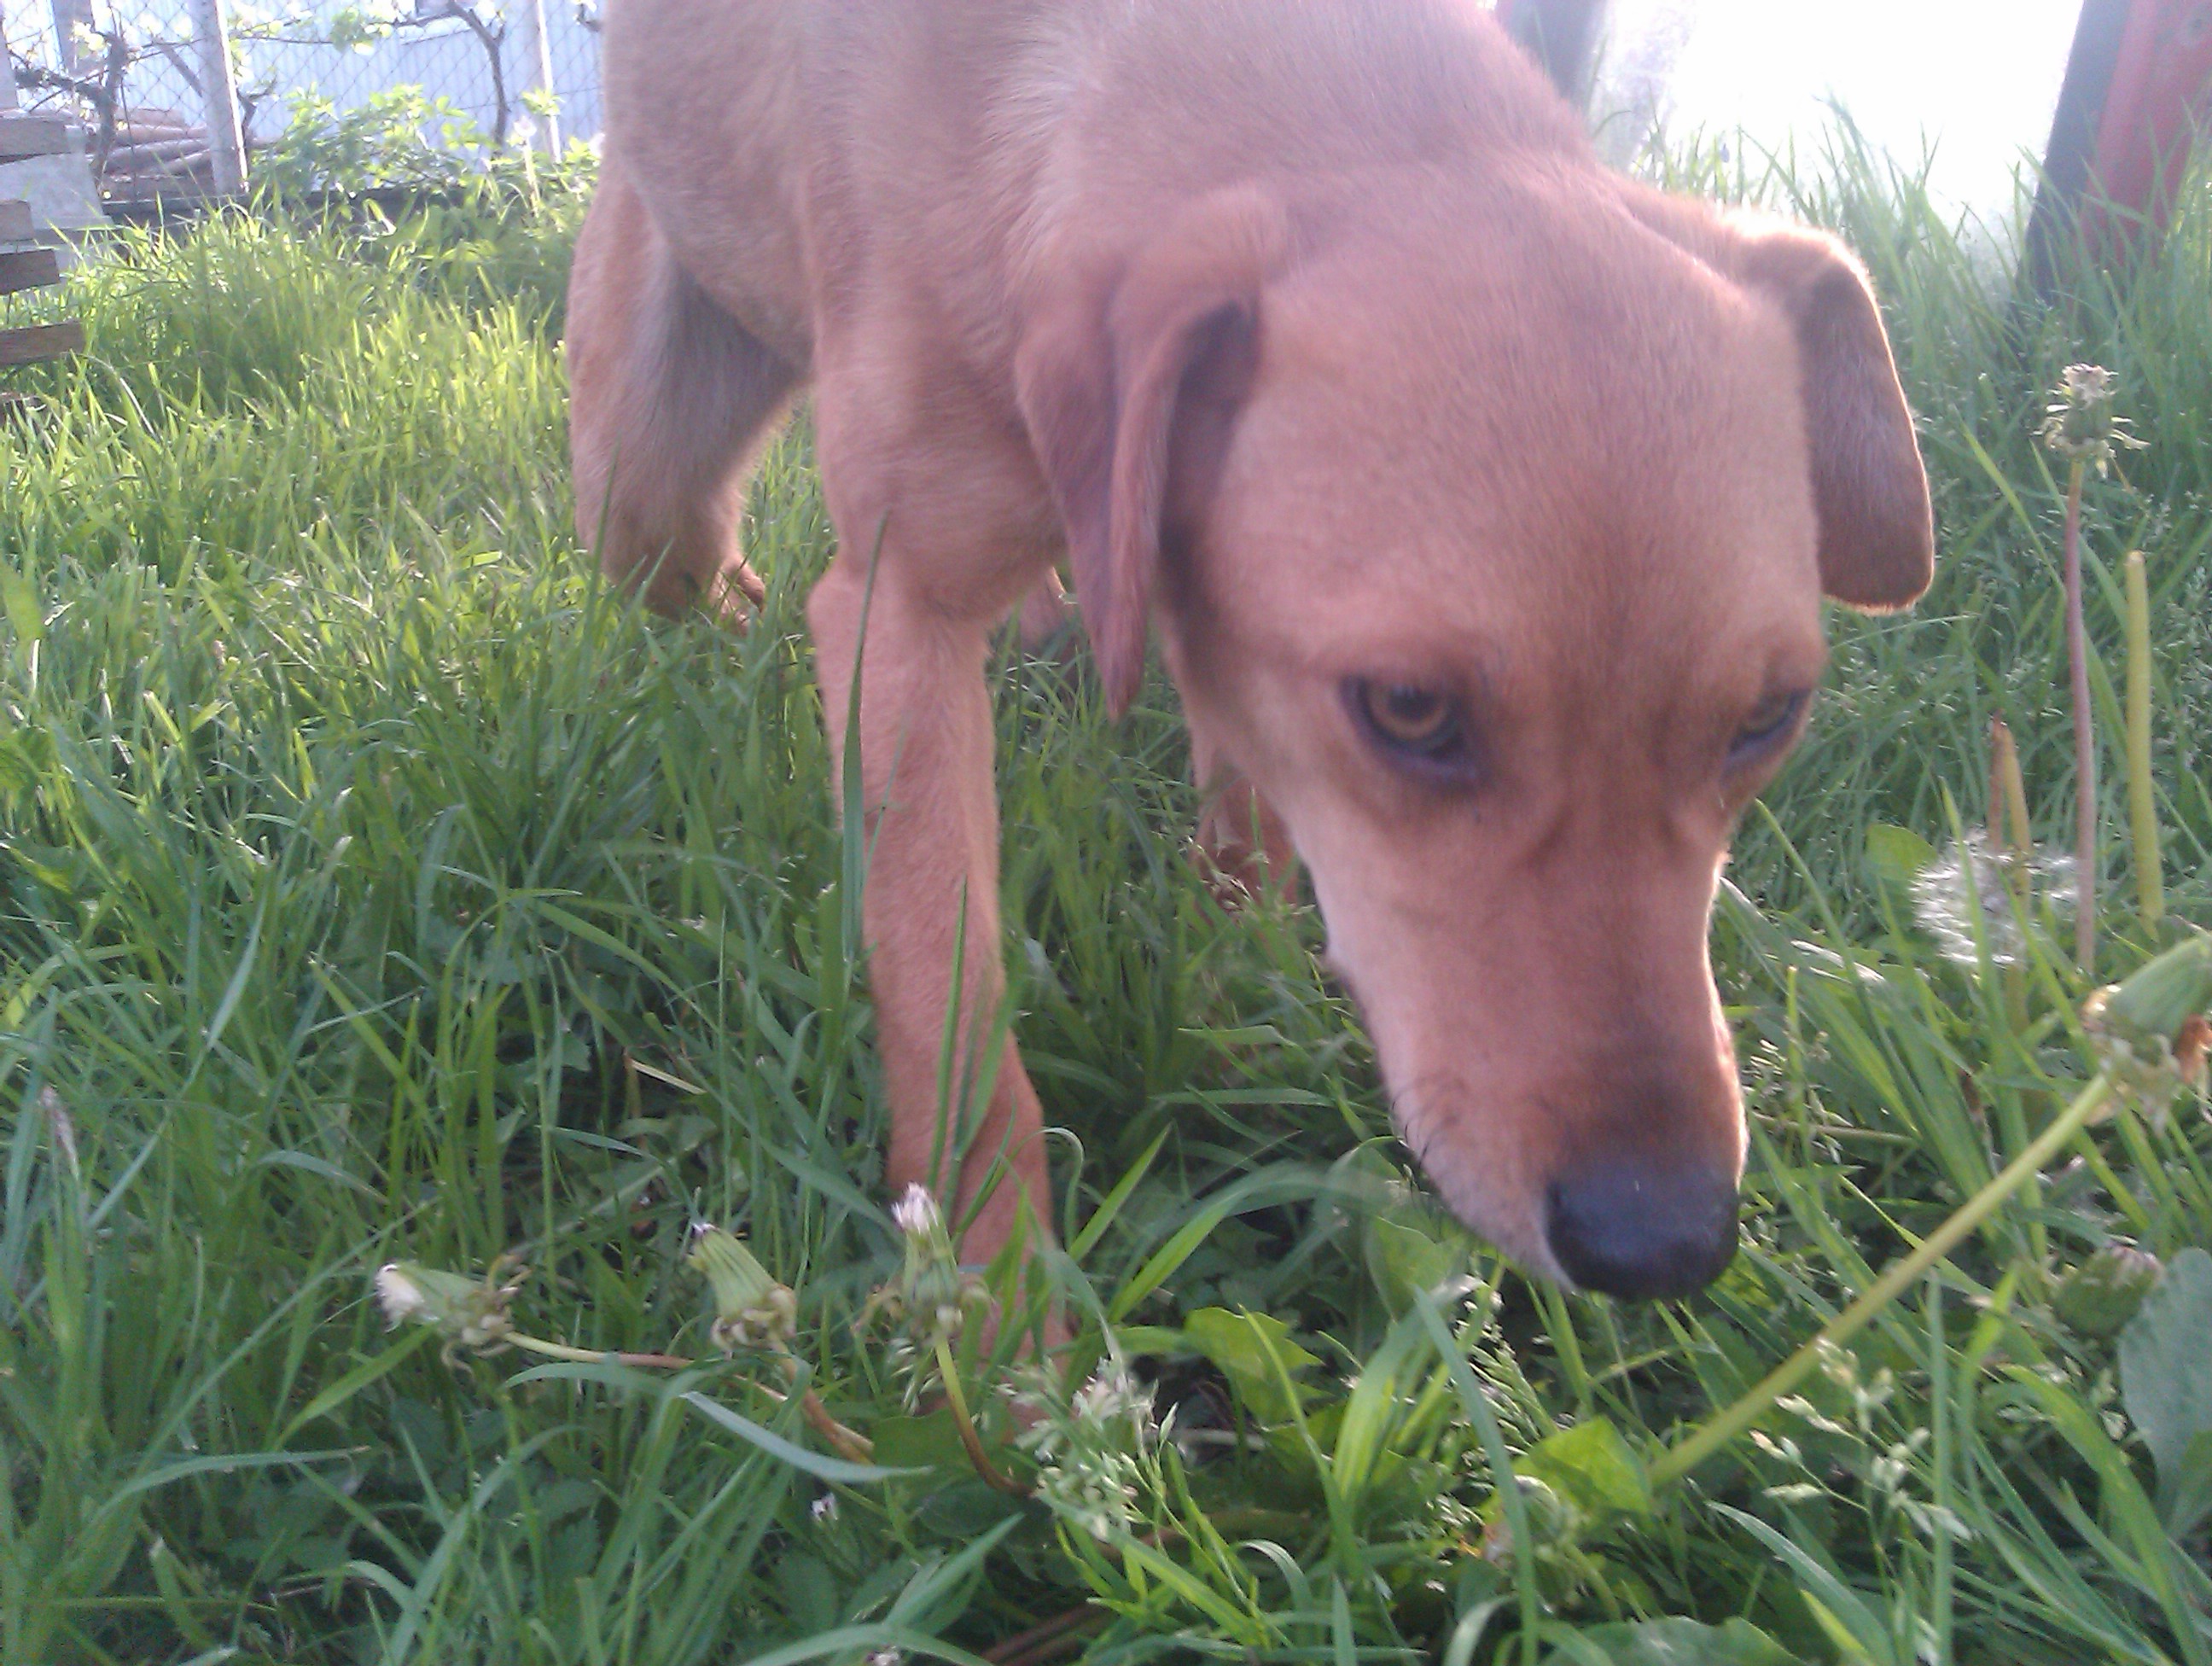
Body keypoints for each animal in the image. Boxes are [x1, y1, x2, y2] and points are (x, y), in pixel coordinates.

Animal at [567, 0, 1932, 1301]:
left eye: (1769, 717)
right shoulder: (895, 610)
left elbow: (1245, 834)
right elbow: (945, 992)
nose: (1665, 1242)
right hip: (646, 487)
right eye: (1411, 708)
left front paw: (1228, 1005)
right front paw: (1000, 1310)